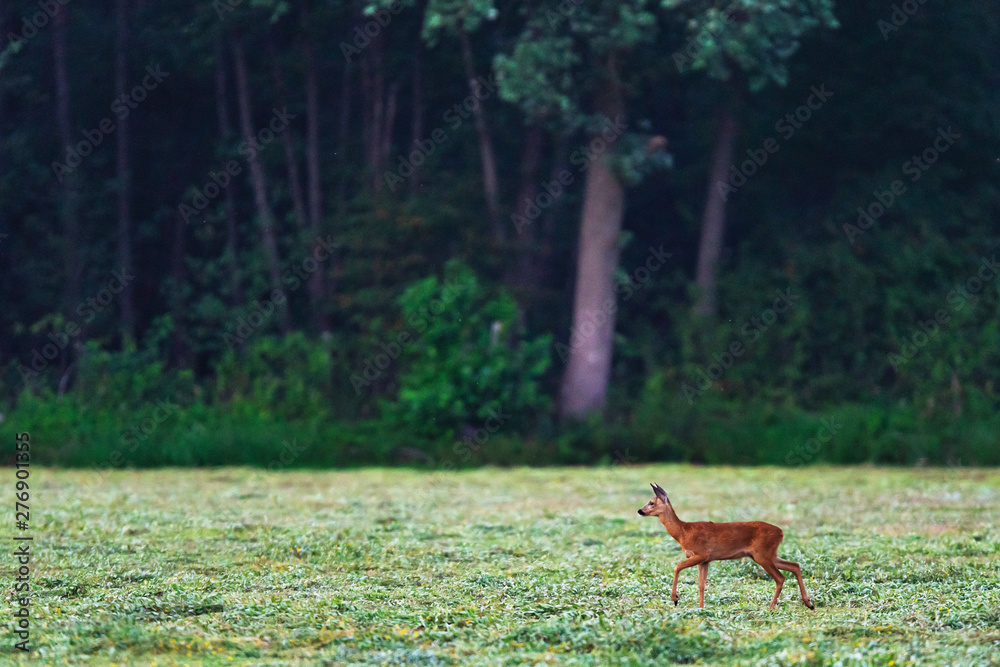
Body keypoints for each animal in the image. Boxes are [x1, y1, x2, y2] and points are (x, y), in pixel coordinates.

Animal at [637, 483, 814, 610]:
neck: (683, 531)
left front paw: (675, 599)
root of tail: (781, 532)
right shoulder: (705, 560)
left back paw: (772, 607)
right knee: (795, 565)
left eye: (651, 502)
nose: (640, 511)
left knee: (780, 577)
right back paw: (809, 603)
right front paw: (701, 608)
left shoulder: (701, 554)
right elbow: (701, 584)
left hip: (762, 555)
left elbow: (677, 567)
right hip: (769, 554)